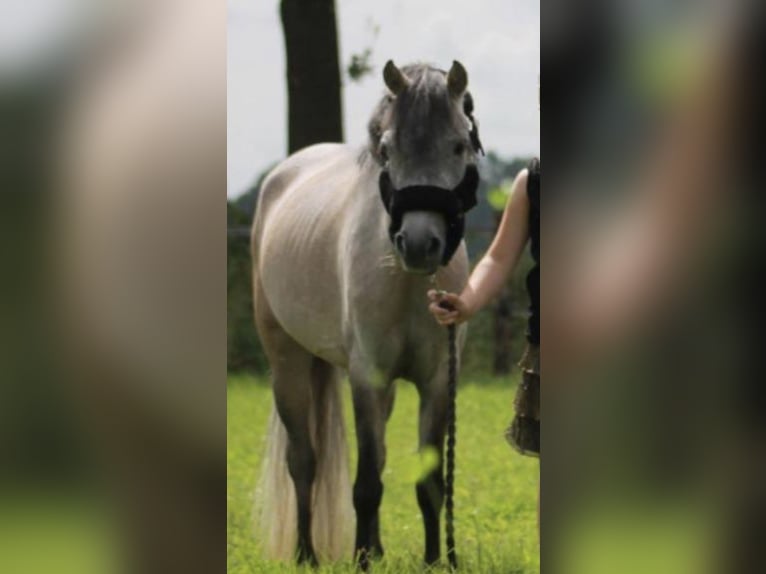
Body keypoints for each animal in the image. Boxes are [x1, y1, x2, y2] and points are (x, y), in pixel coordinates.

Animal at [251, 60, 482, 568]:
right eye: (387, 150)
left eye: (458, 144)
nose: (418, 244)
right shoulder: (367, 377)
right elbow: (367, 483)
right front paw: (358, 561)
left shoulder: (438, 381)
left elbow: (428, 483)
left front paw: (434, 561)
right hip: (287, 362)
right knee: (304, 461)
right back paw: (307, 555)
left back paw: (374, 549)